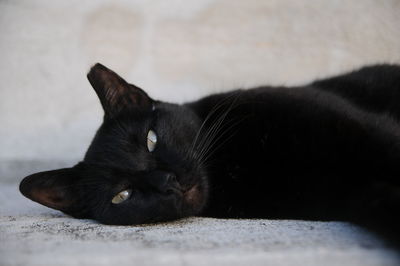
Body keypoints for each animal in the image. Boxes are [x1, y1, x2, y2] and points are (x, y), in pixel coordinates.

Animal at [18, 64, 400, 239]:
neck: (239, 166)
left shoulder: (355, 126)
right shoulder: (357, 196)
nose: (167, 181)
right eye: (122, 195)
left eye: (151, 139)